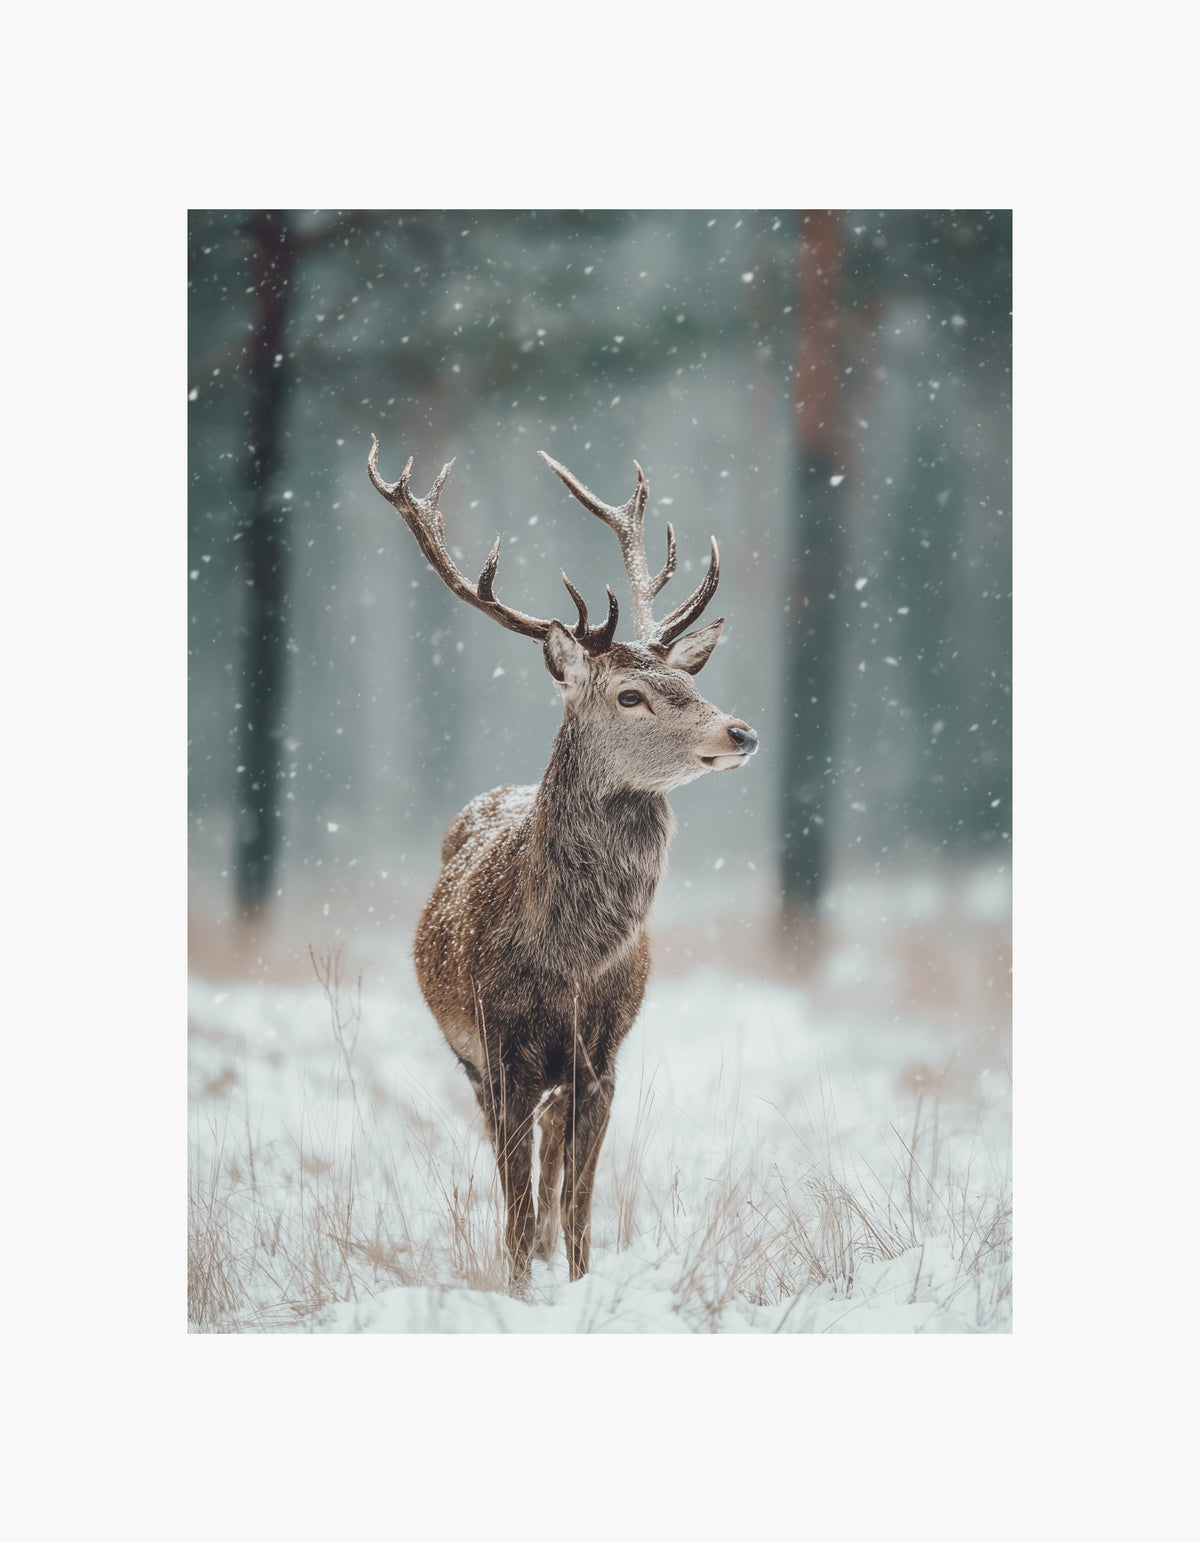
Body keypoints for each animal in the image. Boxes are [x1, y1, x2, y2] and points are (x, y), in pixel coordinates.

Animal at [368, 436, 759, 1291]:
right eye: (630, 695)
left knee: (551, 1166)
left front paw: (574, 1281)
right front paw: (517, 1287)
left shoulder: (602, 1055)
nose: (742, 731)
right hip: (470, 1059)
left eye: (689, 678)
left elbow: (581, 1204)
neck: (569, 963)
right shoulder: (501, 1050)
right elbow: (513, 1201)